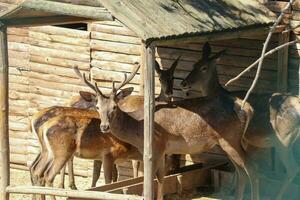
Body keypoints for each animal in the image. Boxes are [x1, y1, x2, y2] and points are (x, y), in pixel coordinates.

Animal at [78, 58, 255, 199]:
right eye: (97, 107)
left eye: (114, 107)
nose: (104, 126)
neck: (138, 129)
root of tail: (248, 109)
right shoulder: (163, 150)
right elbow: (162, 178)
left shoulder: (155, 148)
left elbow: (149, 181)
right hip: (228, 142)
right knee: (242, 173)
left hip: (230, 138)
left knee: (253, 170)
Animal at [179, 41, 300, 198]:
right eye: (194, 64)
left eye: (204, 67)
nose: (183, 83)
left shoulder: (238, 139)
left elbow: (239, 169)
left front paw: (232, 191)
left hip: (284, 140)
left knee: (292, 169)